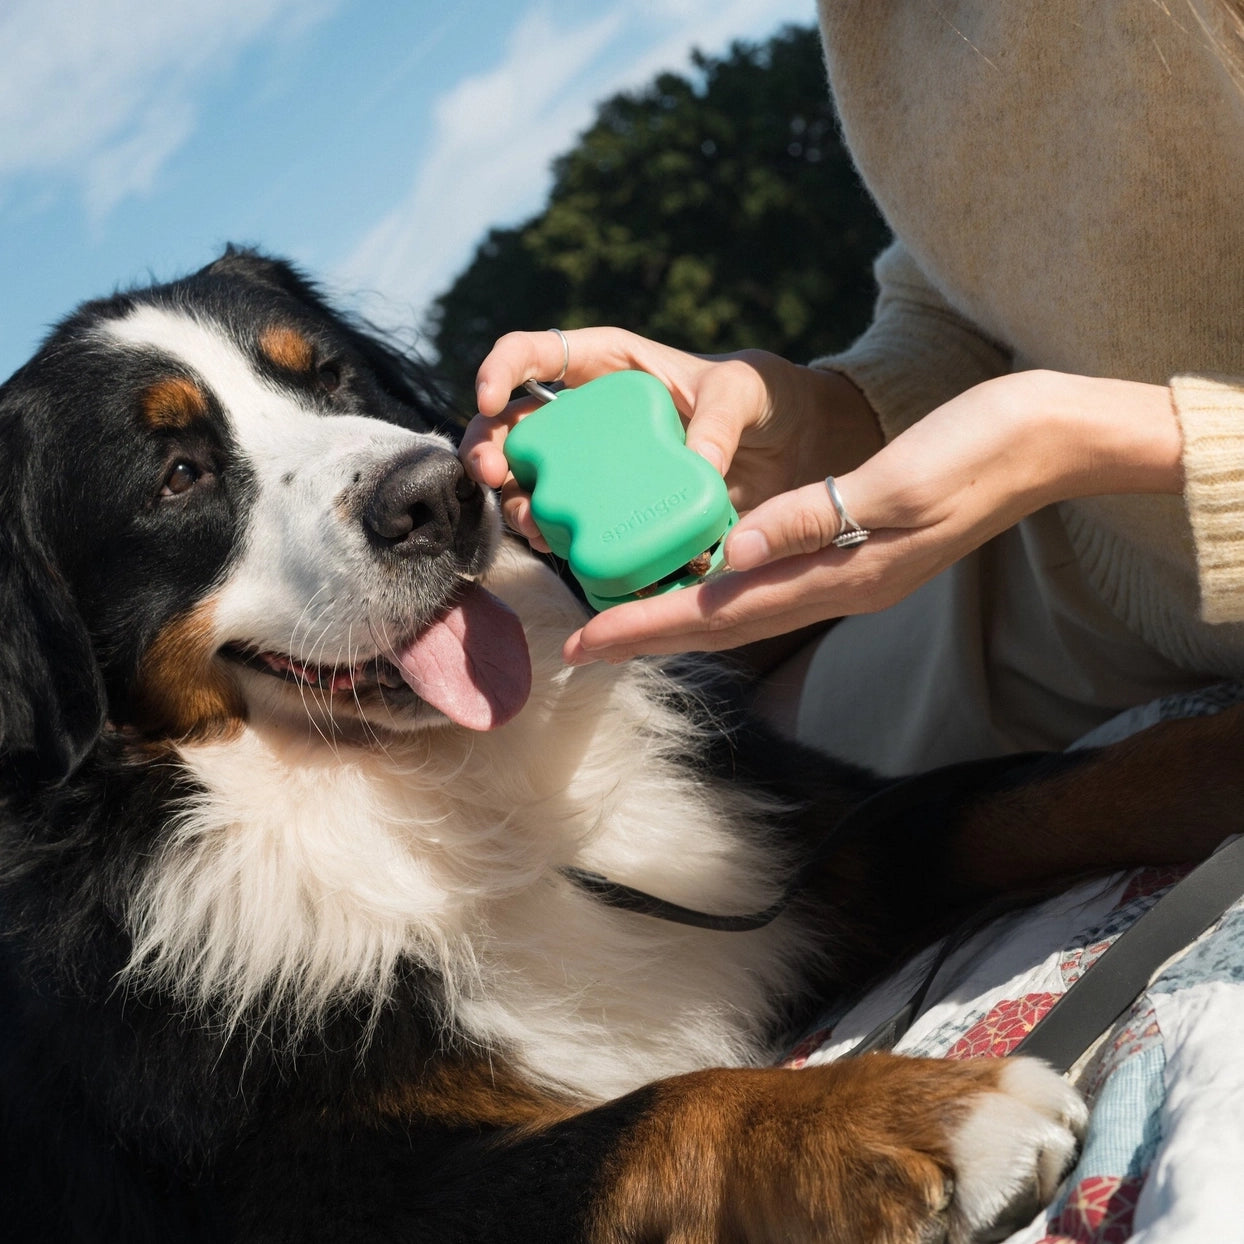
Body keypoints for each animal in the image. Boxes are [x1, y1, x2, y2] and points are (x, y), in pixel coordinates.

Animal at [2, 245, 1234, 1244]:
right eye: (179, 475)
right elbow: (655, 1113)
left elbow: (1030, 793)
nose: (432, 494)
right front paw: (915, 1116)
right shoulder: (313, 1187)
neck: (460, 800)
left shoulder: (785, 843)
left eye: (329, 378)